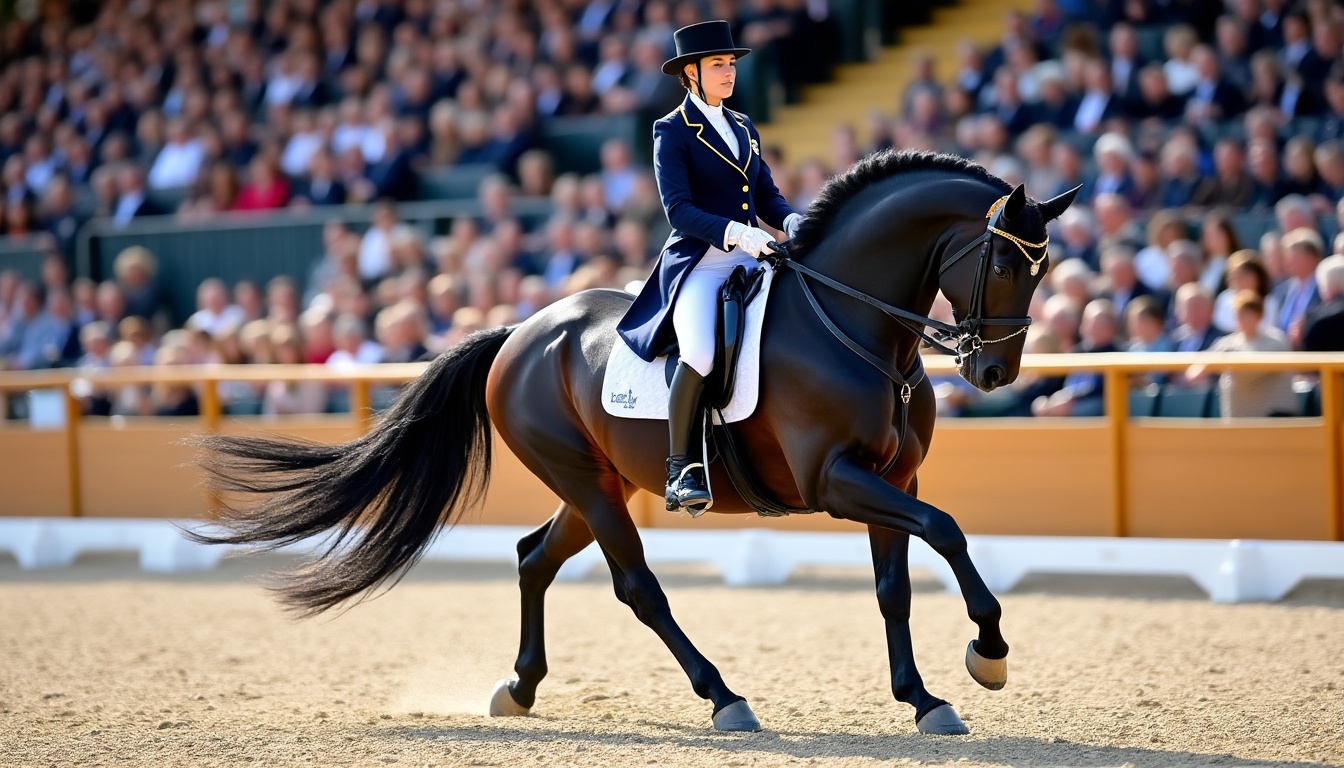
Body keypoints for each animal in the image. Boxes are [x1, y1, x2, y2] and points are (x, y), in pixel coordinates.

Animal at [191, 150, 1079, 735]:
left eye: (1044, 272)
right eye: (1006, 261)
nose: (995, 371)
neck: (853, 325)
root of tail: (522, 332)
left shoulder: (896, 476)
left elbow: (898, 581)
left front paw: (926, 699)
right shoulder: (834, 480)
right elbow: (949, 533)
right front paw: (989, 652)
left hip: (603, 482)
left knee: (534, 557)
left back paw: (520, 689)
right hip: (586, 480)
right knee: (637, 587)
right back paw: (724, 699)